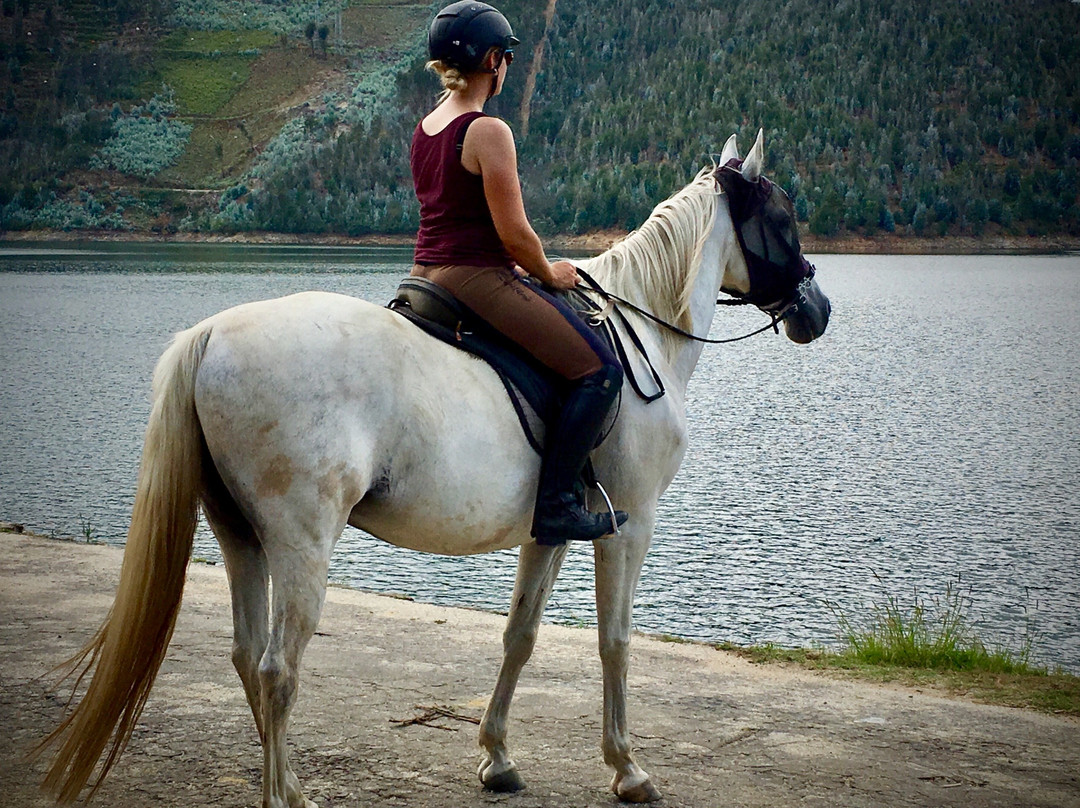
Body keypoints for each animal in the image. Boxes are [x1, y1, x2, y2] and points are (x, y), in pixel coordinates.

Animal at [38, 129, 825, 803]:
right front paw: (628, 769)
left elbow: (520, 635)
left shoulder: (551, 529)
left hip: (240, 535)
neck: (639, 337)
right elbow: (615, 642)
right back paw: (286, 794)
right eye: (784, 218)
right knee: (277, 669)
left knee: (246, 654)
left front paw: (497, 758)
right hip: (300, 542)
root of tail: (209, 333)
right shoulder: (631, 526)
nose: (815, 308)